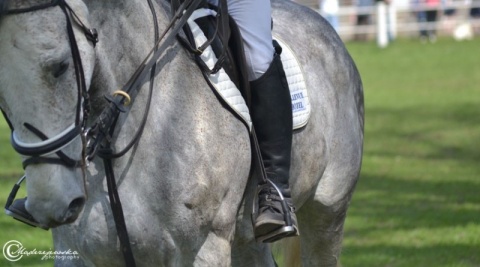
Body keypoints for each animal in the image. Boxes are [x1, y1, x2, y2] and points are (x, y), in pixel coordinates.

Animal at [0, 0, 362, 266]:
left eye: (60, 67)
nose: (52, 202)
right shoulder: (77, 254)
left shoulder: (204, 248)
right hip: (247, 241)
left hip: (327, 214)